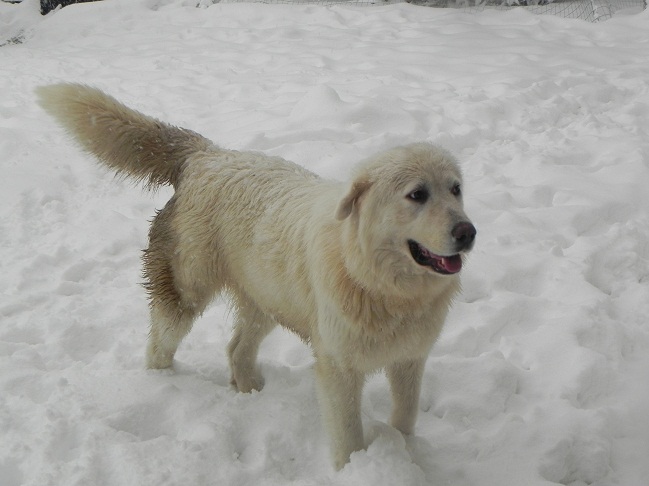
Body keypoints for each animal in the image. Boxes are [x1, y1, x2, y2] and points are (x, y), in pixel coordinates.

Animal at [36, 83, 476, 469]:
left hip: (265, 298)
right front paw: (357, 469)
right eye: (417, 194)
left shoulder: (409, 359)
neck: (378, 281)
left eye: (455, 189)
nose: (467, 232)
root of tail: (205, 156)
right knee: (160, 343)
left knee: (236, 350)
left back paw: (248, 391)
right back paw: (164, 384)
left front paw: (404, 452)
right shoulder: (339, 369)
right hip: (187, 291)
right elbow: (349, 436)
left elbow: (405, 418)